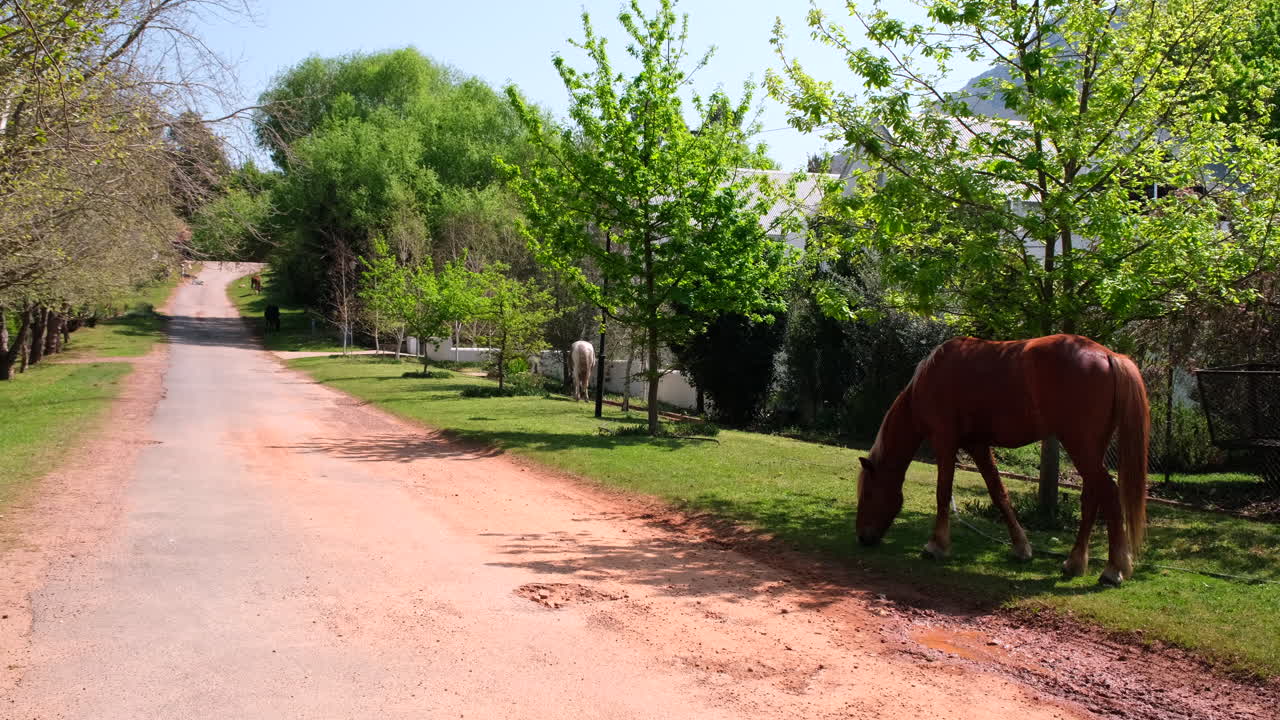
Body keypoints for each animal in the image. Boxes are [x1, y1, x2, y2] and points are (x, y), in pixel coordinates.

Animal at [856, 334, 1149, 586]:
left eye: (867, 494)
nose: (862, 537)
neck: (928, 380)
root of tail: (1109, 355)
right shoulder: (977, 446)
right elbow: (999, 493)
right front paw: (1021, 547)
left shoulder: (944, 442)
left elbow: (943, 492)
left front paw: (936, 545)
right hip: (1090, 450)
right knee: (1091, 498)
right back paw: (1074, 563)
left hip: (1080, 447)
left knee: (1109, 493)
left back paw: (1113, 569)